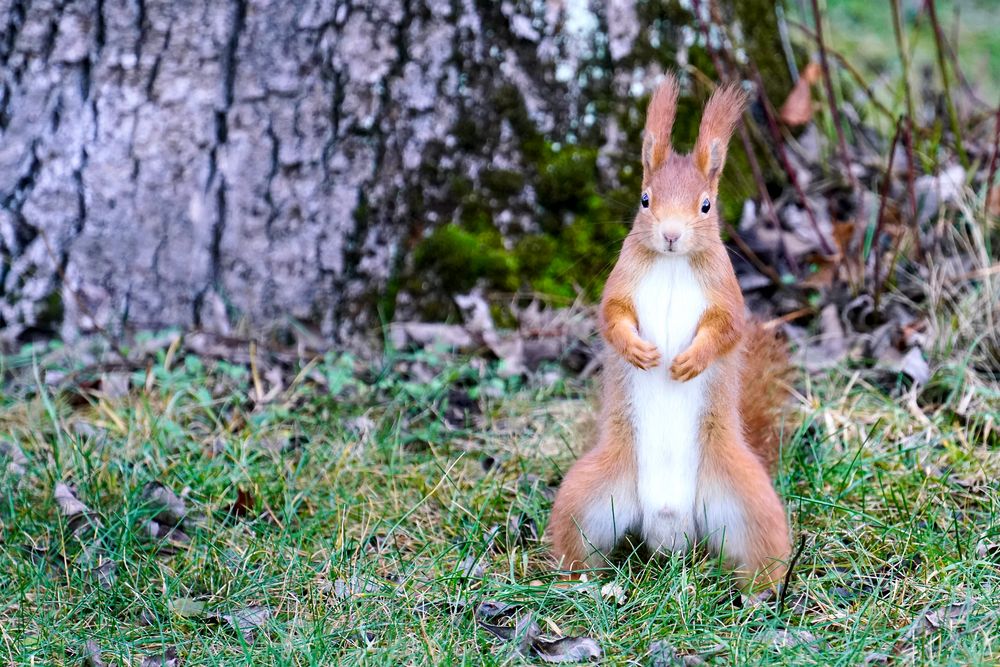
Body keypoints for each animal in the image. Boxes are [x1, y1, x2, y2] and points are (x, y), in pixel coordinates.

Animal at [548, 75, 788, 592]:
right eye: (645, 199)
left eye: (706, 205)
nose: (672, 235)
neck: (674, 264)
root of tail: (668, 529)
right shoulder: (618, 287)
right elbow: (611, 318)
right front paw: (639, 352)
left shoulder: (728, 297)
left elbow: (727, 330)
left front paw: (689, 362)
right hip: (587, 496)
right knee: (577, 543)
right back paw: (578, 580)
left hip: (748, 502)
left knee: (763, 552)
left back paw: (760, 594)